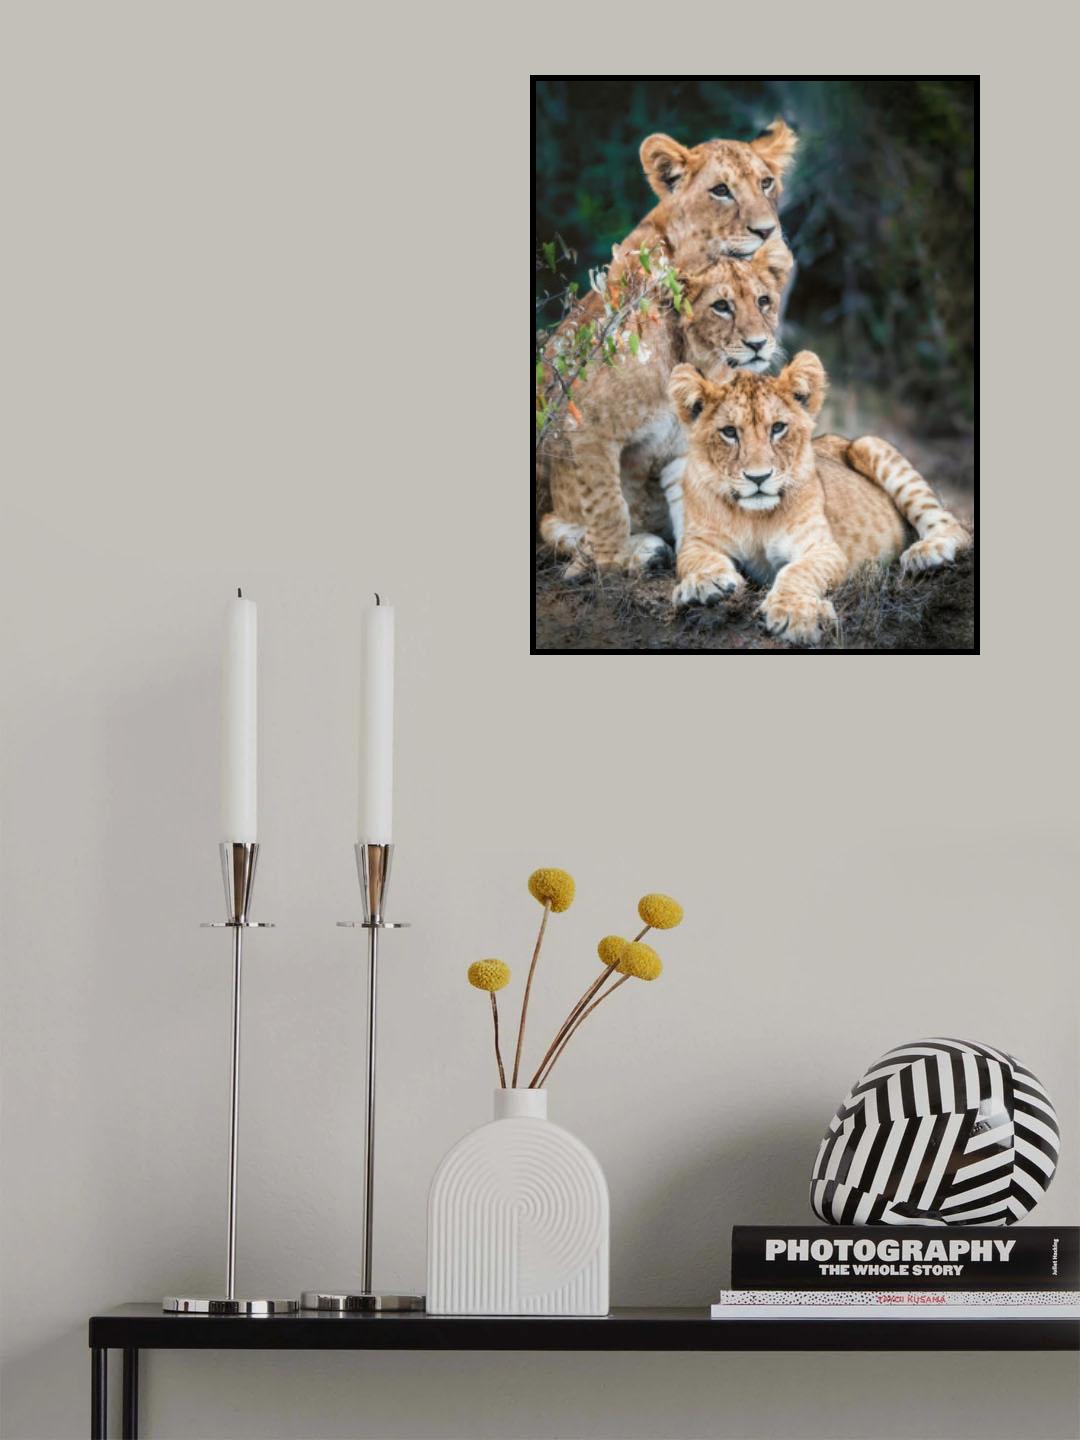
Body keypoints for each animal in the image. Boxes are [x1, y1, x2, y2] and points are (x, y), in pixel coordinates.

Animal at [540, 246, 792, 574]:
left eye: (763, 301)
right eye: (721, 306)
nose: (758, 344)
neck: (698, 361)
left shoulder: (685, 447)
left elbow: (692, 506)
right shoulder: (587, 424)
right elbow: (608, 505)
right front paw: (612, 563)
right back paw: (641, 552)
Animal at [667, 353, 972, 645]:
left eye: (778, 428)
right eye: (729, 432)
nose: (758, 477)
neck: (755, 518)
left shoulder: (823, 548)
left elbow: (797, 571)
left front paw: (793, 612)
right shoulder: (695, 541)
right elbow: (698, 559)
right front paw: (706, 583)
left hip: (871, 445)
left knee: (951, 524)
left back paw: (926, 553)